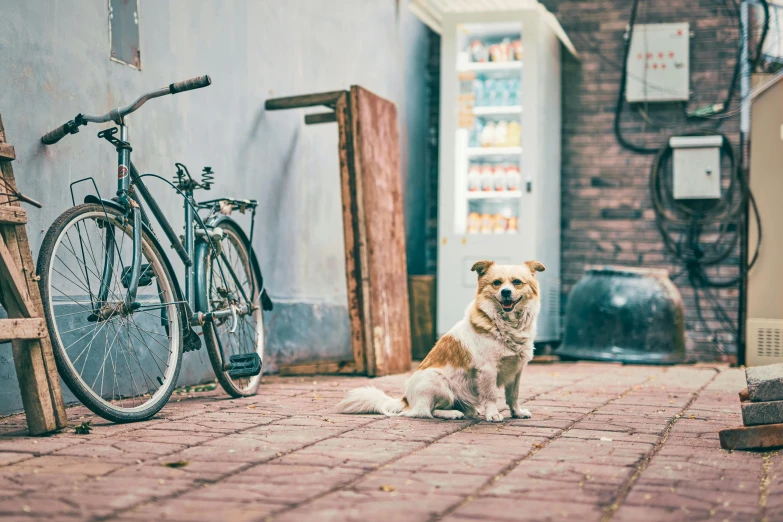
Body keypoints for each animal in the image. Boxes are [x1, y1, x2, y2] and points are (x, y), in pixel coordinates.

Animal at [336, 258, 544, 420]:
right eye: (497, 283)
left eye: (516, 282)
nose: (505, 292)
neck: (506, 325)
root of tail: (406, 400)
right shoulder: (488, 370)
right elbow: (491, 395)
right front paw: (493, 414)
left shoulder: (517, 371)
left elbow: (513, 395)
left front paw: (517, 413)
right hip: (438, 382)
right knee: (427, 411)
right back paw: (452, 413)